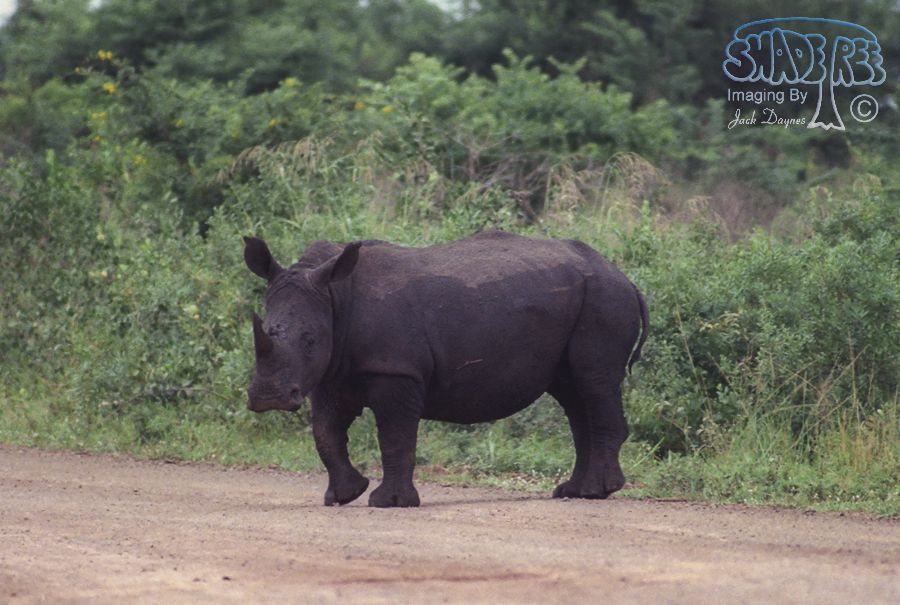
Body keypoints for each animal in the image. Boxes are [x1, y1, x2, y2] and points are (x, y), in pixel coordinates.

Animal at [244, 231, 648, 507]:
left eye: (310, 340)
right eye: (264, 330)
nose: (268, 398)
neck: (335, 298)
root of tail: (626, 277)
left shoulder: (397, 371)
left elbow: (395, 435)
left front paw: (389, 503)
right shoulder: (331, 374)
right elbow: (325, 433)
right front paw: (344, 496)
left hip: (603, 299)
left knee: (594, 381)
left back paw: (598, 492)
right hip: (583, 299)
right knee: (573, 394)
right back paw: (573, 492)